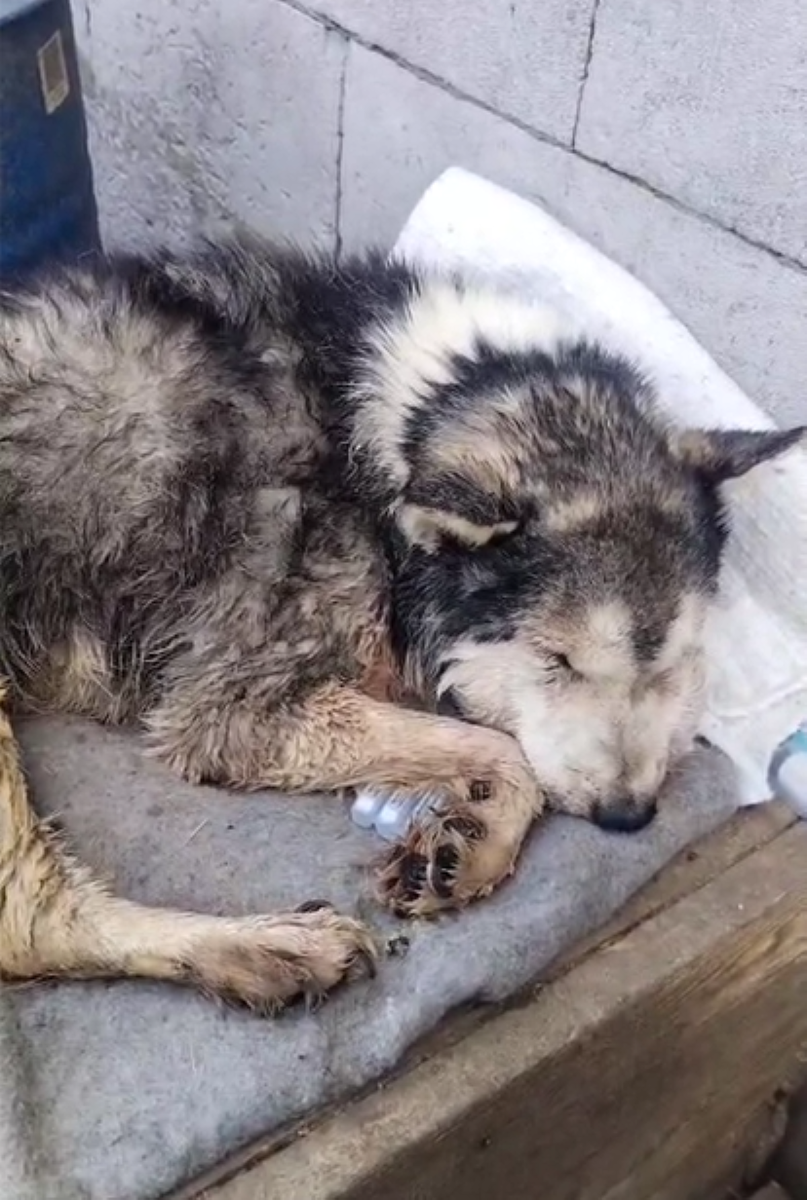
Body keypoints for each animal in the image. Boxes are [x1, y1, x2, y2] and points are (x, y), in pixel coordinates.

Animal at [0, 235, 801, 1013]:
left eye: (668, 659)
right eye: (558, 661)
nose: (629, 818)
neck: (406, 419)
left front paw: (465, 835)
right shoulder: (230, 713)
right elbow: (504, 753)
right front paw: (482, 847)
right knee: (31, 927)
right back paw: (266, 949)